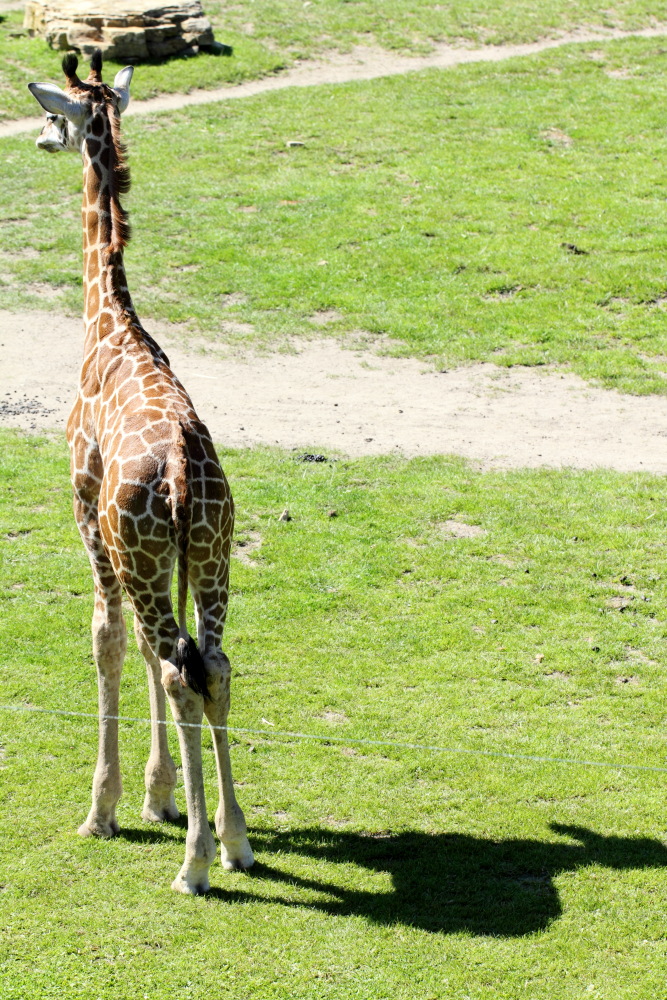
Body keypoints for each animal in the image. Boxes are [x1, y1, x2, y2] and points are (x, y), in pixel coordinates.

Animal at [28, 50, 254, 894]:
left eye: (53, 112)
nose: (37, 138)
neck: (108, 322)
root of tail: (188, 473)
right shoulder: (169, 559)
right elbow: (164, 657)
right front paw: (162, 795)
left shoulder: (88, 518)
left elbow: (107, 640)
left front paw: (105, 807)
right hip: (212, 552)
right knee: (209, 663)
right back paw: (234, 840)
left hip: (143, 548)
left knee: (179, 666)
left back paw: (194, 865)